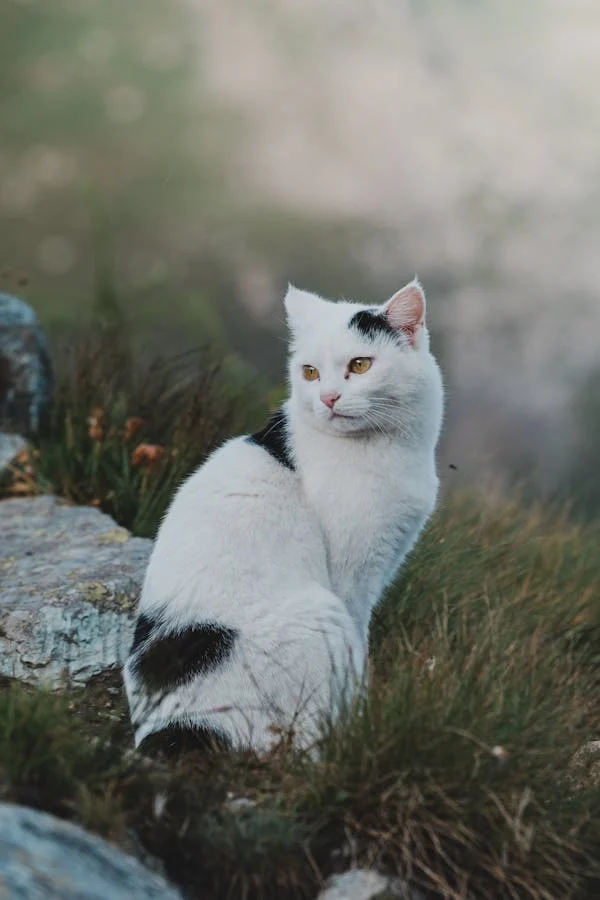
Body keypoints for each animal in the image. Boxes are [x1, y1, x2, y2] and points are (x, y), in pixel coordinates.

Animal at [123, 278, 446, 756]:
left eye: (360, 365)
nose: (328, 398)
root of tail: (171, 726)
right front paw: (365, 713)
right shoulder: (353, 579)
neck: (391, 447)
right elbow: (360, 646)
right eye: (309, 372)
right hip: (319, 614)